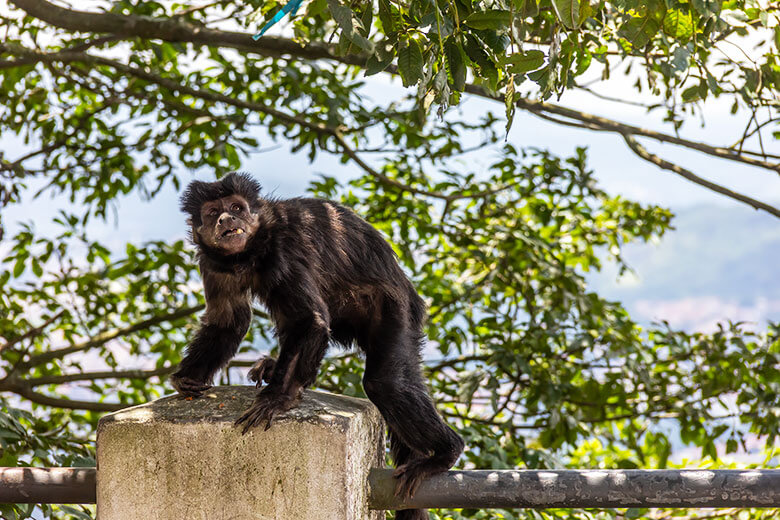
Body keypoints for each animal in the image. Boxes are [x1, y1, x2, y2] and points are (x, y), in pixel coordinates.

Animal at [171, 173, 464, 516]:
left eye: (236, 207)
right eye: (213, 211)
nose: (226, 219)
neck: (249, 254)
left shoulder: (282, 250)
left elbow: (311, 319)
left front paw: (278, 399)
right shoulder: (212, 263)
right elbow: (228, 321)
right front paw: (187, 379)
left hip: (397, 308)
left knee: (385, 383)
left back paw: (445, 453)